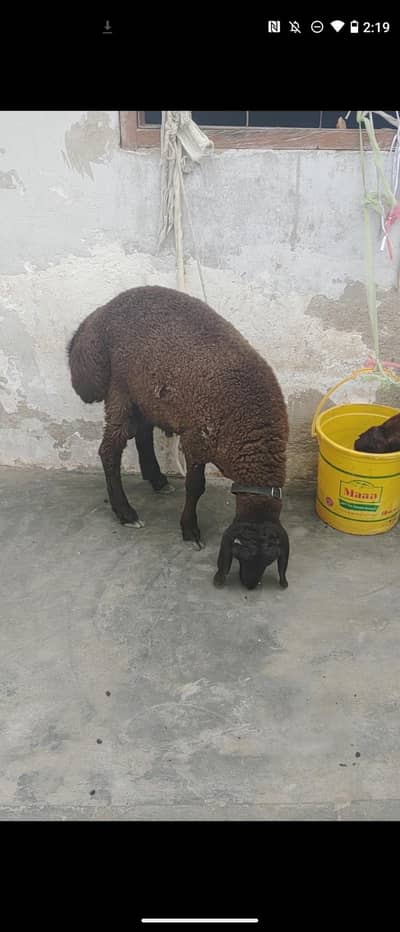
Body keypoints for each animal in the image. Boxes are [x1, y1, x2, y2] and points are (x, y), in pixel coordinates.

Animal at [68, 285, 290, 590]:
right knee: (109, 450)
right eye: (239, 551)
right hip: (120, 390)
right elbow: (195, 487)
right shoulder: (195, 441)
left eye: (271, 559)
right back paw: (126, 513)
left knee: (142, 434)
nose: (249, 585)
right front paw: (190, 530)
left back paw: (157, 480)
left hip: (147, 394)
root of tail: (97, 318)